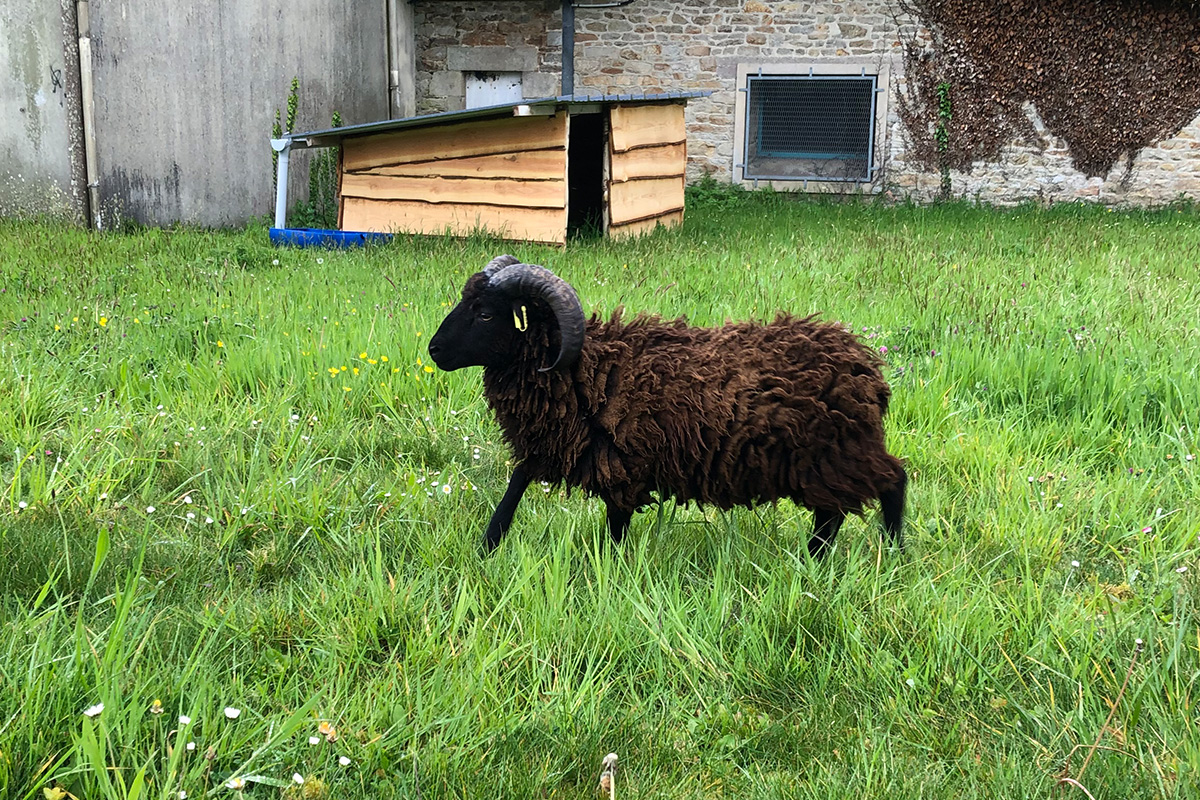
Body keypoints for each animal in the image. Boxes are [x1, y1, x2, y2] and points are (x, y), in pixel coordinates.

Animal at [428, 254, 908, 557]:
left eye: (486, 314)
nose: (433, 350)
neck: (584, 368)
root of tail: (865, 367)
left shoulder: (620, 464)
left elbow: (615, 526)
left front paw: (606, 572)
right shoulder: (558, 442)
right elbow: (515, 487)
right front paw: (488, 547)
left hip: (831, 453)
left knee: (889, 482)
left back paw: (885, 552)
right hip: (829, 456)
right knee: (840, 508)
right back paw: (818, 560)